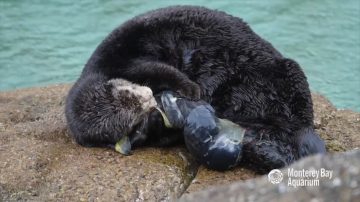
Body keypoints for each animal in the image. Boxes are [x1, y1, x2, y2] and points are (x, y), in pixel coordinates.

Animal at [65, 5, 326, 173]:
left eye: (128, 93)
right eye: (133, 114)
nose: (149, 97)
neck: (102, 70)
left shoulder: (127, 62)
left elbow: (161, 70)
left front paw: (191, 89)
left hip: (289, 73)